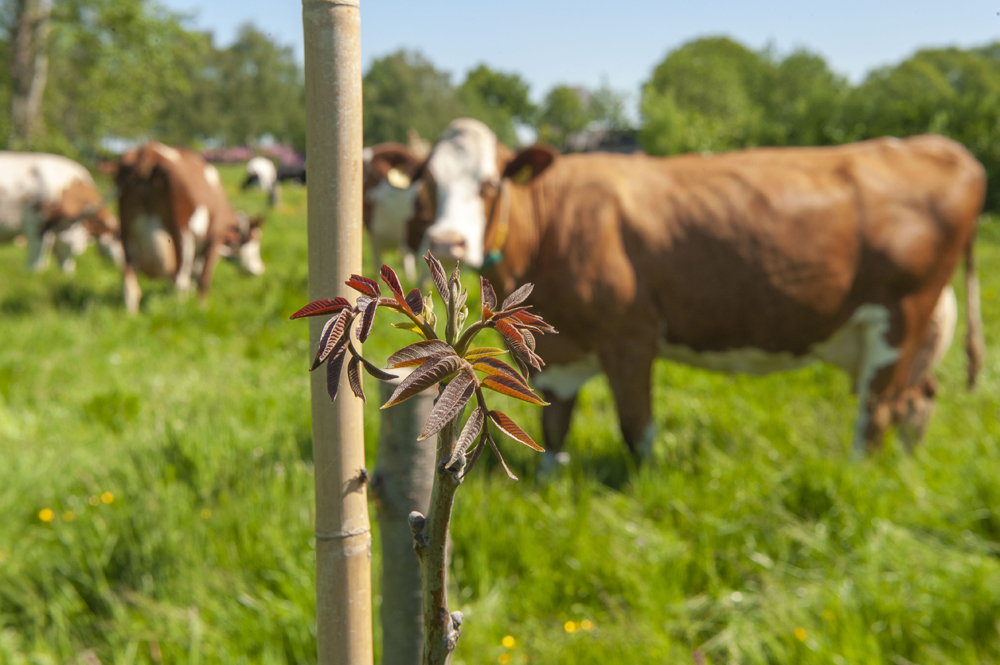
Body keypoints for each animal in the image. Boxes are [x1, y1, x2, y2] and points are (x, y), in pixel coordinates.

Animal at [116, 141, 266, 312]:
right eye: (255, 240)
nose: (260, 269)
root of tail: (149, 151)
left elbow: (196, 272)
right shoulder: (214, 240)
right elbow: (203, 277)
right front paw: (201, 307)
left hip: (127, 230)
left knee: (130, 284)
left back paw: (132, 314)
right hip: (182, 234)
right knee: (180, 279)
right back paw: (181, 310)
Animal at [414, 118, 984, 462]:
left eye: (489, 184)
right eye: (427, 184)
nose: (445, 240)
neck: (556, 225)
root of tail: (934, 144)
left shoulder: (630, 337)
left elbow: (637, 429)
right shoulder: (560, 350)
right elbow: (554, 430)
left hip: (901, 317)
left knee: (878, 412)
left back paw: (858, 478)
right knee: (917, 398)